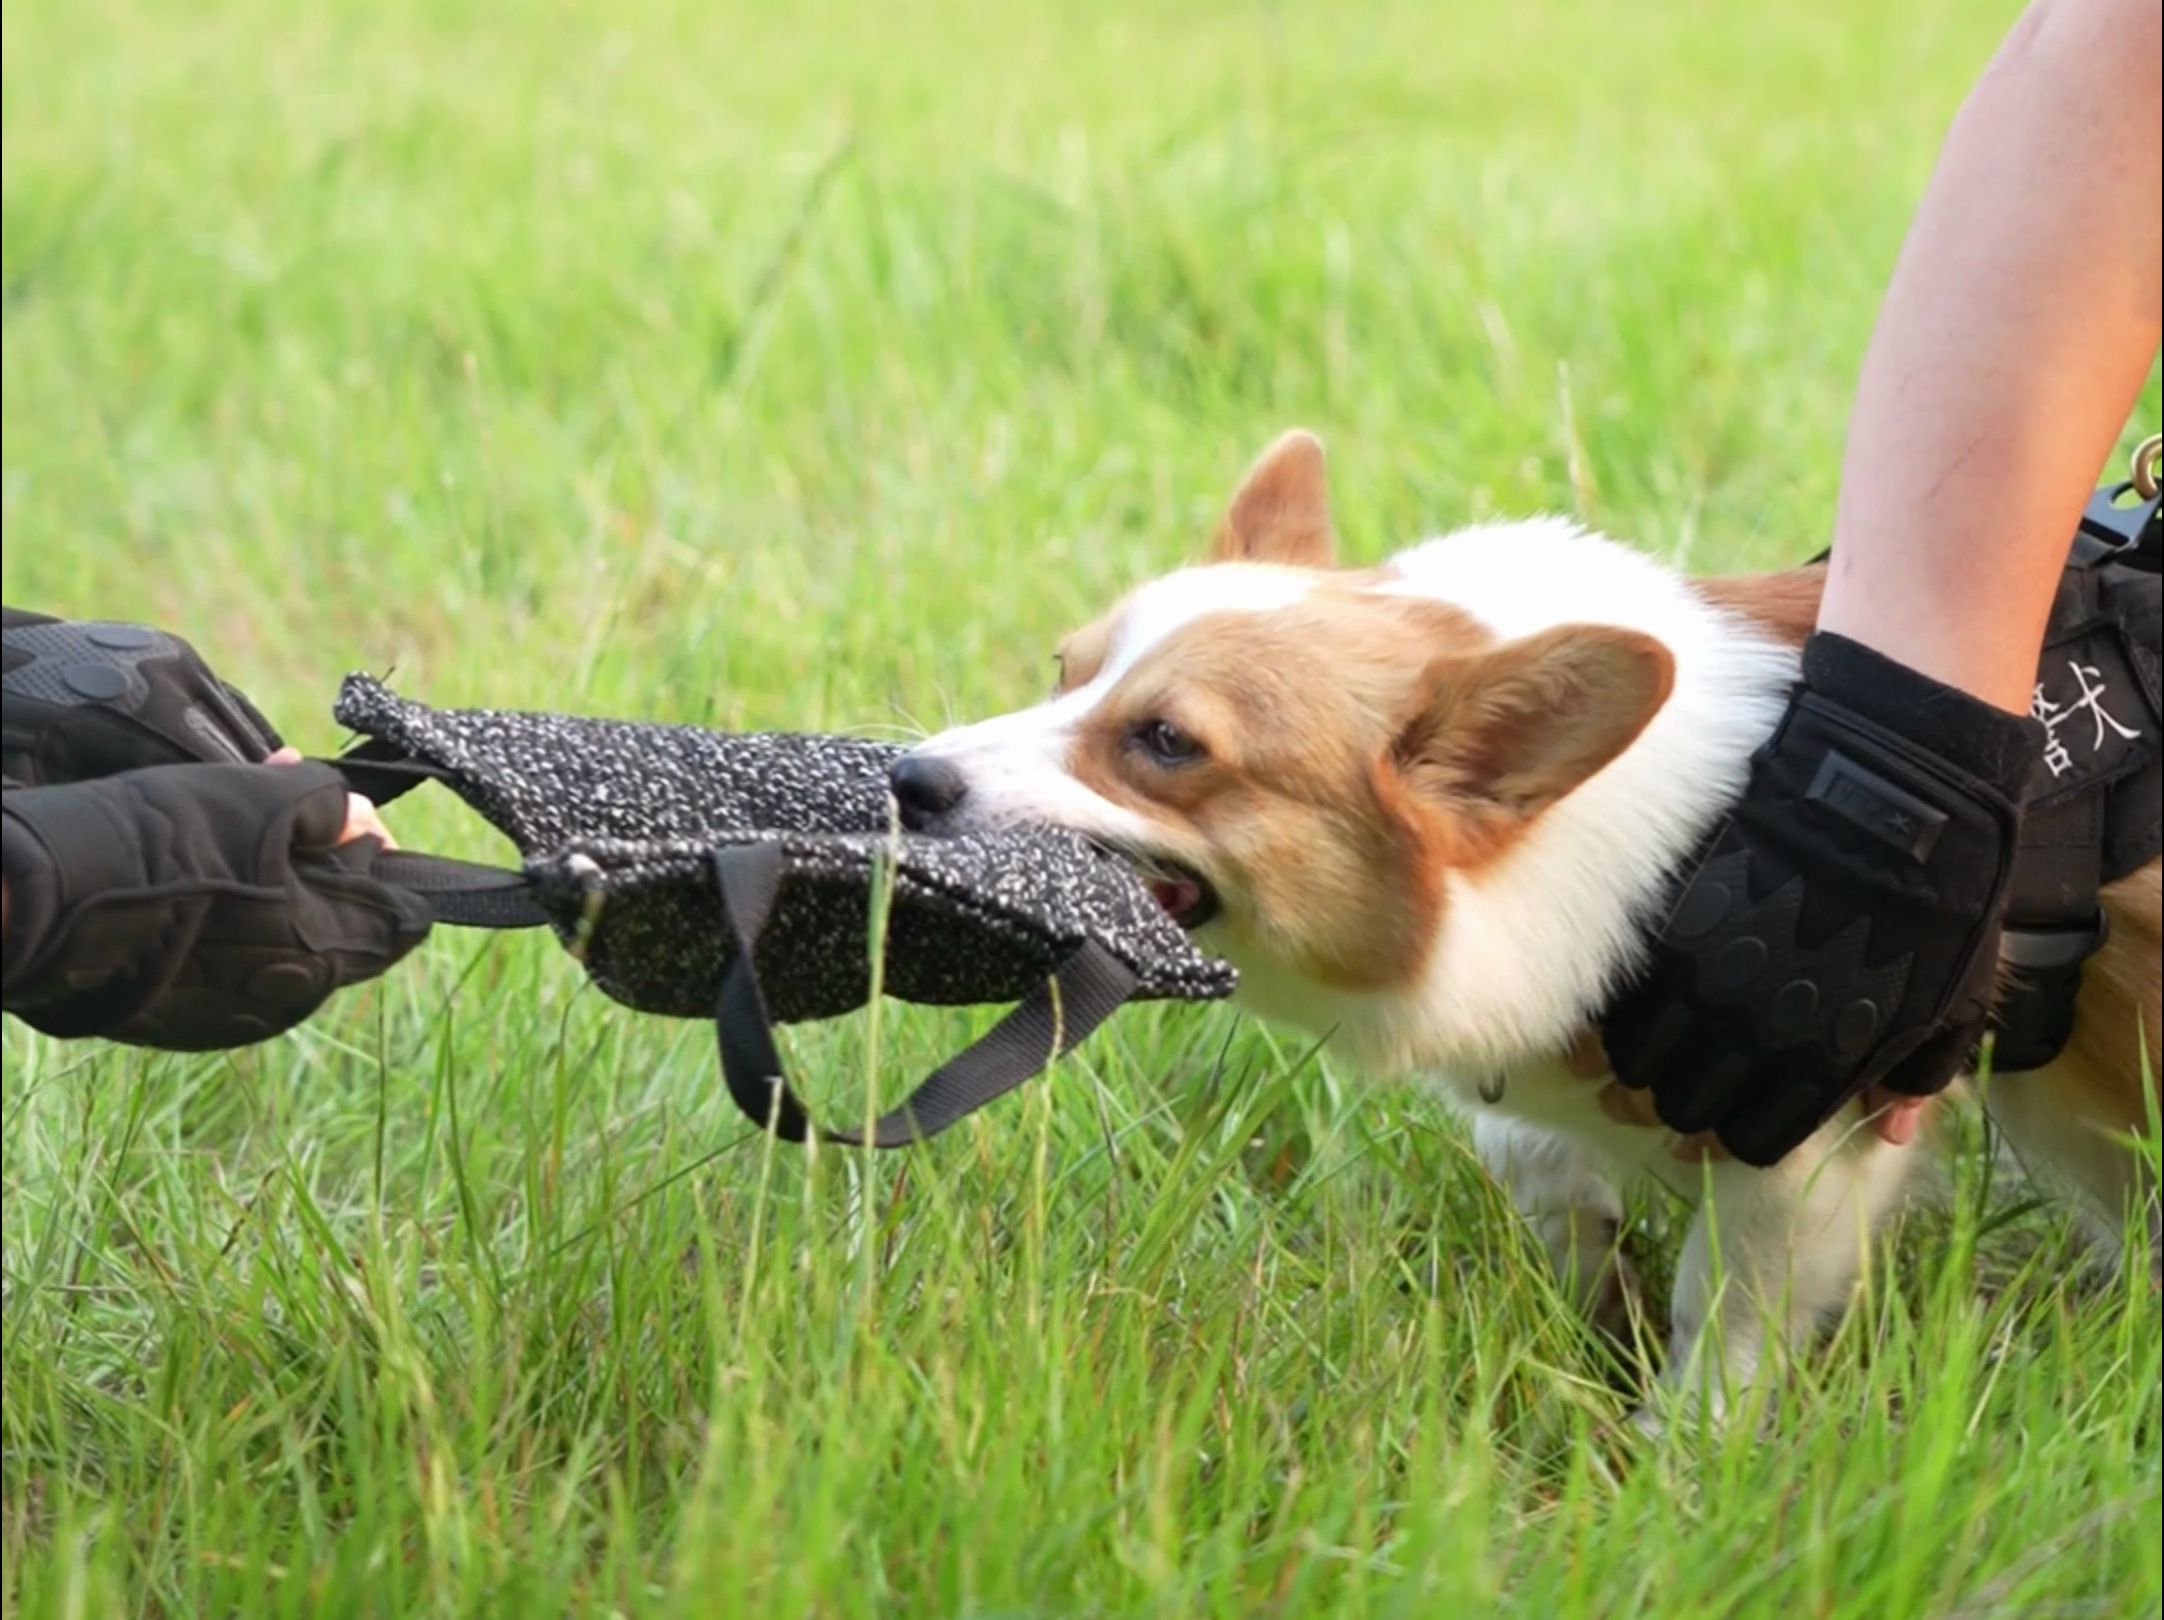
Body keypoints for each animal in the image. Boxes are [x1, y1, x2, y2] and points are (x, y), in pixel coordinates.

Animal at [891, 430, 2164, 1418]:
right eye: (1064, 670)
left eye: (1166, 743)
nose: (908, 782)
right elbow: (1536, 1161)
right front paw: (1591, 1300)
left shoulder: (1815, 1140)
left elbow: (1729, 1318)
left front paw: (1673, 1462)